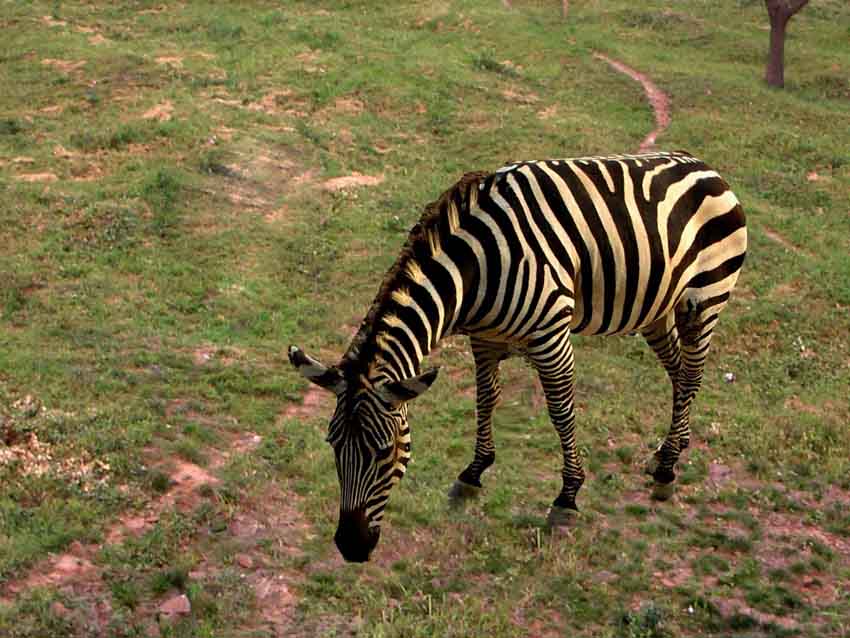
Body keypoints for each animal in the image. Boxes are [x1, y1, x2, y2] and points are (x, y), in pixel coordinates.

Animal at [288, 152, 744, 564]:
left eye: (385, 452)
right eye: (332, 444)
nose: (351, 548)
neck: (473, 270)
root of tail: (704, 166)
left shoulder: (551, 335)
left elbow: (561, 412)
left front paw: (567, 497)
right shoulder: (485, 338)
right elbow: (486, 399)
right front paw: (474, 473)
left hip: (704, 301)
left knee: (691, 375)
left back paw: (667, 470)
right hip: (657, 308)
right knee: (678, 373)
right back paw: (672, 448)